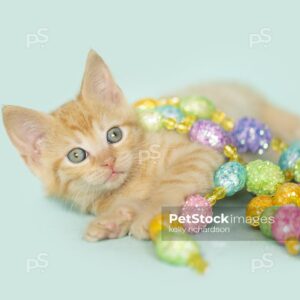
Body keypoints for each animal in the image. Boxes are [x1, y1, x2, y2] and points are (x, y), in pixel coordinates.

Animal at [2, 50, 300, 240]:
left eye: (114, 135)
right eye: (77, 155)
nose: (109, 161)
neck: (132, 181)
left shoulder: (198, 151)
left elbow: (172, 183)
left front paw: (149, 214)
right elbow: (125, 206)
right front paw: (112, 221)